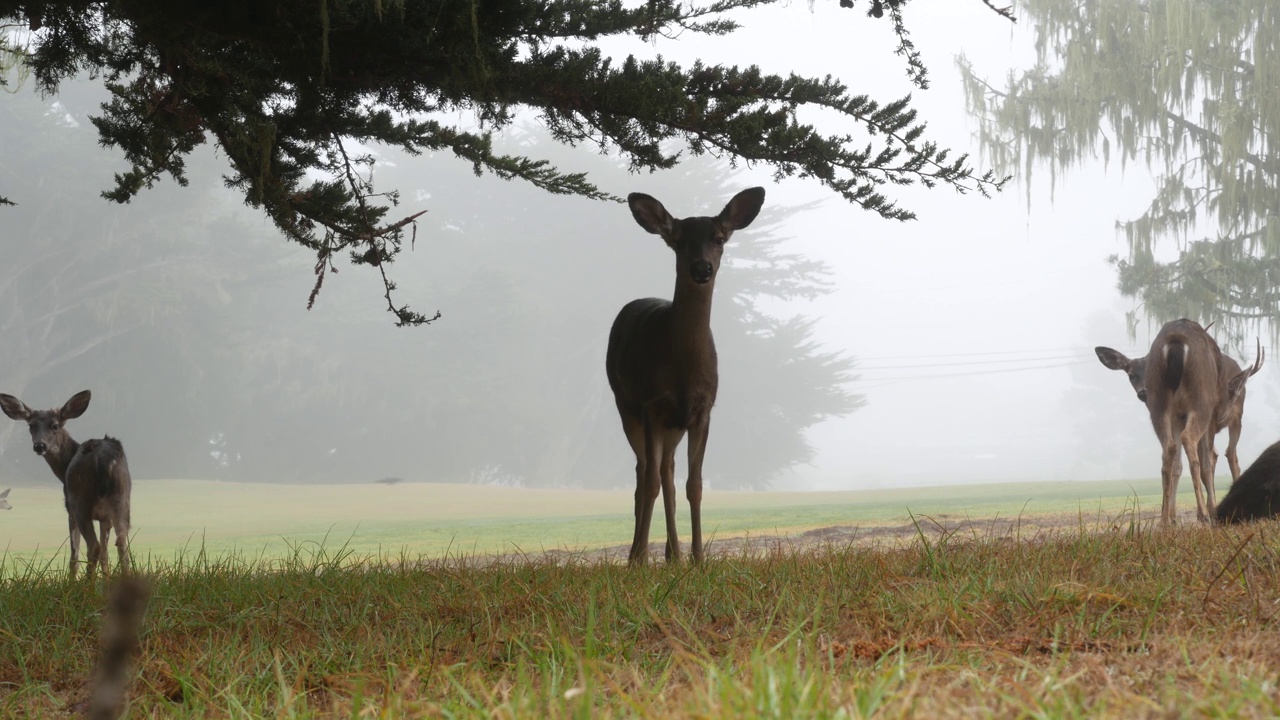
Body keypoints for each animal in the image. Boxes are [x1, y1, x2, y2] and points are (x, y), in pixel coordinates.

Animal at [0, 389, 131, 573]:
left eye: (55, 425)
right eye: (31, 425)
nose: (39, 446)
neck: (63, 470)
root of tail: (103, 458)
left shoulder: (70, 510)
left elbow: (74, 557)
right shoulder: (104, 518)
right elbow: (105, 556)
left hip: (79, 502)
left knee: (94, 546)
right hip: (122, 499)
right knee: (121, 543)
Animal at [604, 183, 762, 561]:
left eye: (719, 238)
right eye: (678, 241)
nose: (702, 268)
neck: (683, 371)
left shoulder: (702, 409)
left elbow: (695, 485)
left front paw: (699, 558)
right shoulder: (651, 404)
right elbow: (649, 484)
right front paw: (638, 560)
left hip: (673, 426)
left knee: (667, 473)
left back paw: (673, 554)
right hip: (625, 406)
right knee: (644, 473)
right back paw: (640, 553)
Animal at [1100, 317, 1259, 520]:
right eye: (1131, 375)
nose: (1143, 392)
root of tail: (1175, 341)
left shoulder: (1179, 417)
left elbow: (1180, 464)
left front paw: (1173, 515)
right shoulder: (1209, 418)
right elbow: (1207, 462)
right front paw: (1210, 509)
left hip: (1160, 404)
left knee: (1169, 448)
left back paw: (1165, 520)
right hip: (1202, 399)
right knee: (1195, 443)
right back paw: (1203, 514)